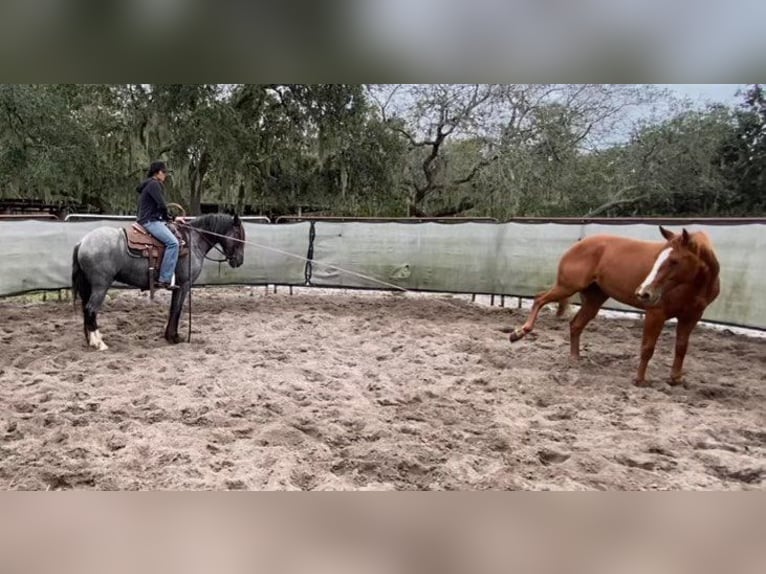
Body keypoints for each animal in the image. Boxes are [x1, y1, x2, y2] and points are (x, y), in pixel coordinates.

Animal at [72, 216, 246, 352]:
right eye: (238, 235)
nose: (239, 261)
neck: (192, 241)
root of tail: (82, 242)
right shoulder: (184, 285)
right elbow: (177, 309)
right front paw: (174, 337)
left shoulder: (179, 286)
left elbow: (173, 309)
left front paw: (170, 336)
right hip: (101, 286)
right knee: (91, 309)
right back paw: (99, 343)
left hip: (89, 286)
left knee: (87, 310)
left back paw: (91, 340)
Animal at [510, 227, 720, 390]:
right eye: (657, 258)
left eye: (675, 261)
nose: (643, 293)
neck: (696, 284)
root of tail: (578, 244)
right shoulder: (656, 313)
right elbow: (648, 347)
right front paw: (640, 380)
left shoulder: (691, 317)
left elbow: (681, 347)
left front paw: (676, 378)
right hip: (567, 286)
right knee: (539, 299)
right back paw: (519, 333)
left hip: (594, 299)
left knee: (575, 324)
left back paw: (575, 358)